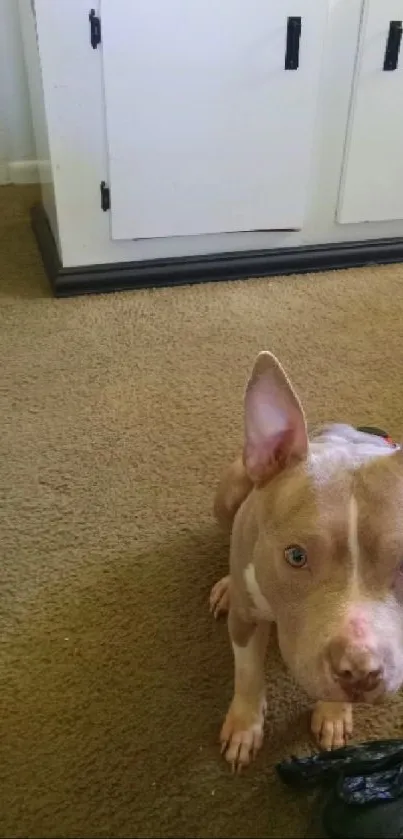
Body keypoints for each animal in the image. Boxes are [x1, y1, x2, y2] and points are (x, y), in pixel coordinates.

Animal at [210, 352, 403, 772]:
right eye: (296, 556)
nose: (360, 673)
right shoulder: (246, 620)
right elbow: (247, 673)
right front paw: (244, 727)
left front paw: (333, 715)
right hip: (231, 487)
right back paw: (227, 586)